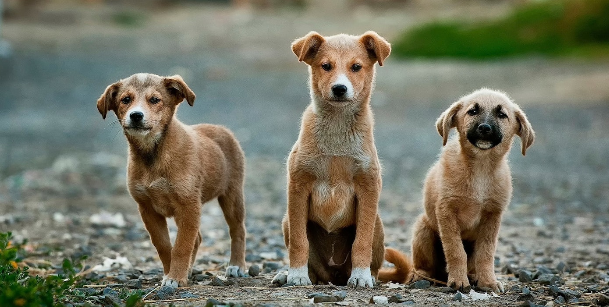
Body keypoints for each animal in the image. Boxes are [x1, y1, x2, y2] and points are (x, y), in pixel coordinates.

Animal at [96, 74, 246, 288]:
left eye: (154, 100)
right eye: (126, 99)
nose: (136, 115)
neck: (153, 155)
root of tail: (221, 129)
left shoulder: (188, 205)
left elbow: (182, 245)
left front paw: (175, 277)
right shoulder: (147, 208)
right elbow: (165, 246)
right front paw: (171, 273)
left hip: (232, 196)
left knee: (237, 230)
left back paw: (236, 265)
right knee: (198, 238)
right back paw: (189, 270)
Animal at [270, 31, 390, 288]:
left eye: (356, 67)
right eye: (326, 66)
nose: (339, 88)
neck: (336, 129)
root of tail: (333, 276)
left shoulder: (368, 188)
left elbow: (361, 241)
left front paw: (361, 276)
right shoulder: (298, 186)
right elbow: (299, 241)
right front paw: (296, 274)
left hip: (378, 223)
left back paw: (368, 276)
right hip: (286, 220)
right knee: (313, 267)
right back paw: (288, 274)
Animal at [382, 88, 536, 294]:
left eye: (502, 115)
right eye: (472, 111)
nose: (485, 128)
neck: (480, 168)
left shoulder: (492, 216)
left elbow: (486, 253)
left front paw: (488, 281)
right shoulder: (446, 212)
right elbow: (455, 251)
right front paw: (458, 281)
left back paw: (473, 276)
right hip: (423, 229)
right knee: (423, 266)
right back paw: (421, 276)